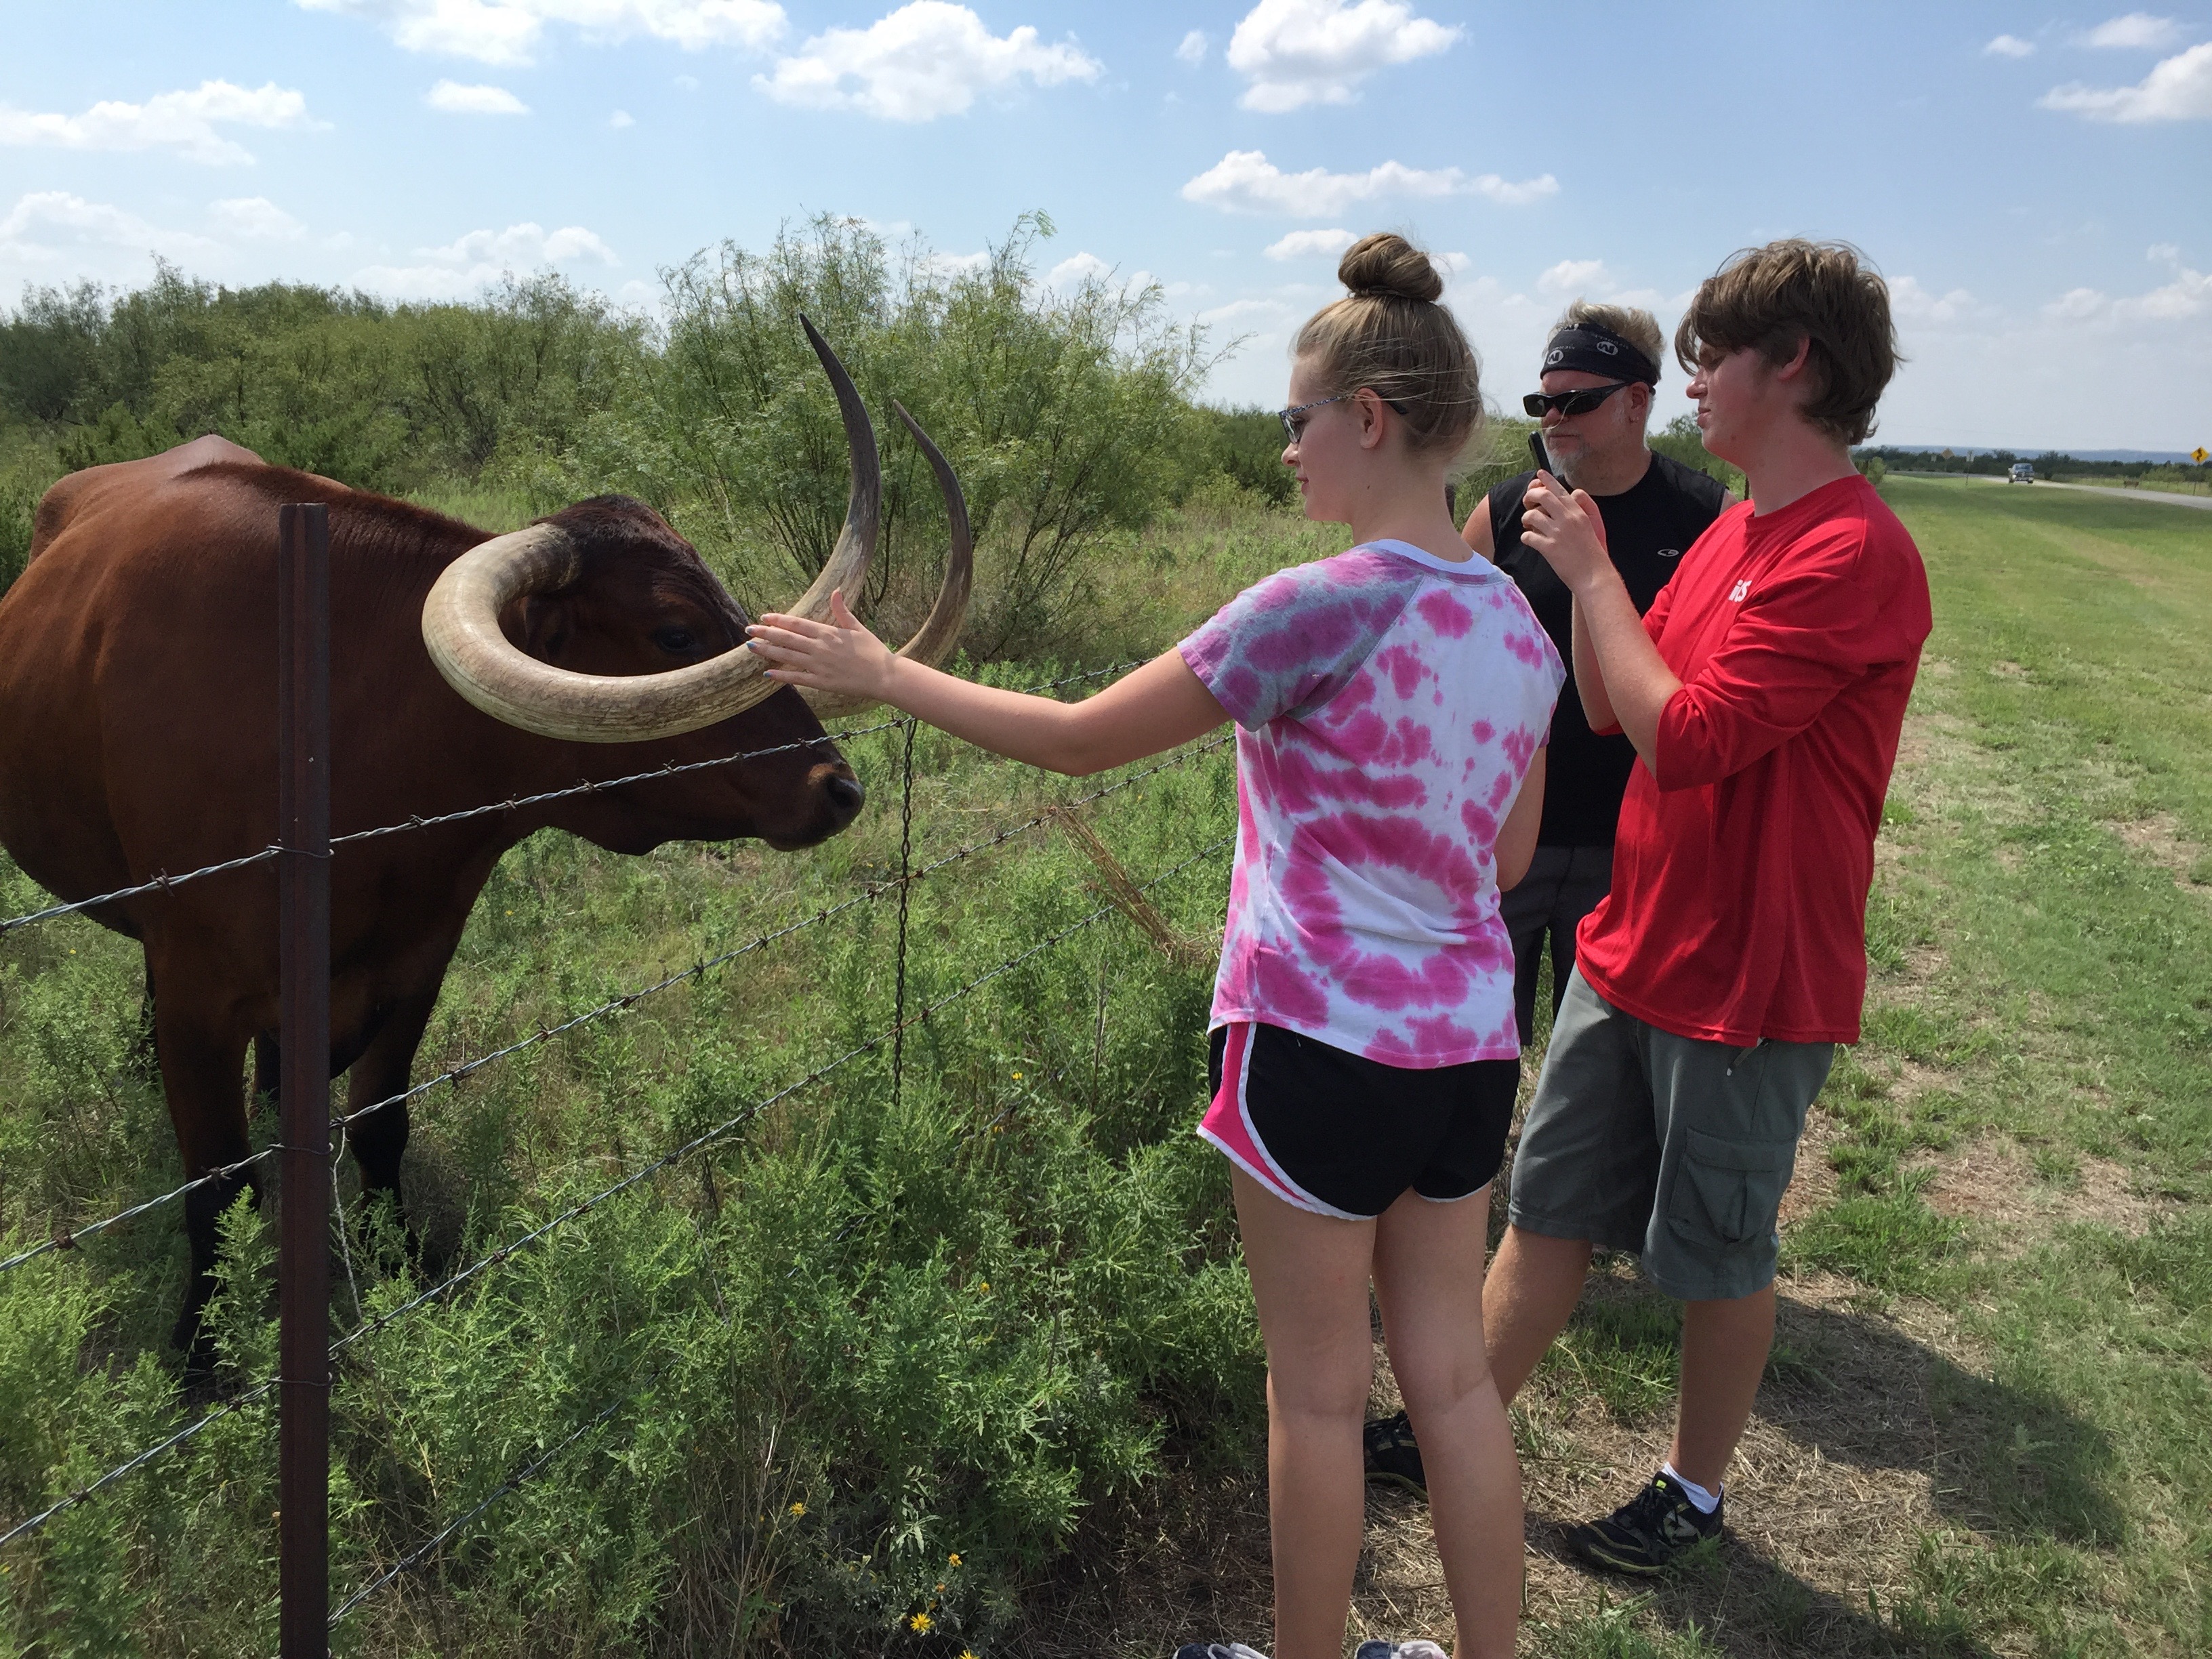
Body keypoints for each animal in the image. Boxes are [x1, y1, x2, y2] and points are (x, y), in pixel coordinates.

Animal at [0, 321, 968, 1362]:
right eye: (673, 631)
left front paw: (400, 1264)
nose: (840, 789)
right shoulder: (197, 995)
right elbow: (217, 1187)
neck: (326, 723)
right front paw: (200, 1355)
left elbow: (379, 1125)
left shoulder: (419, 958)